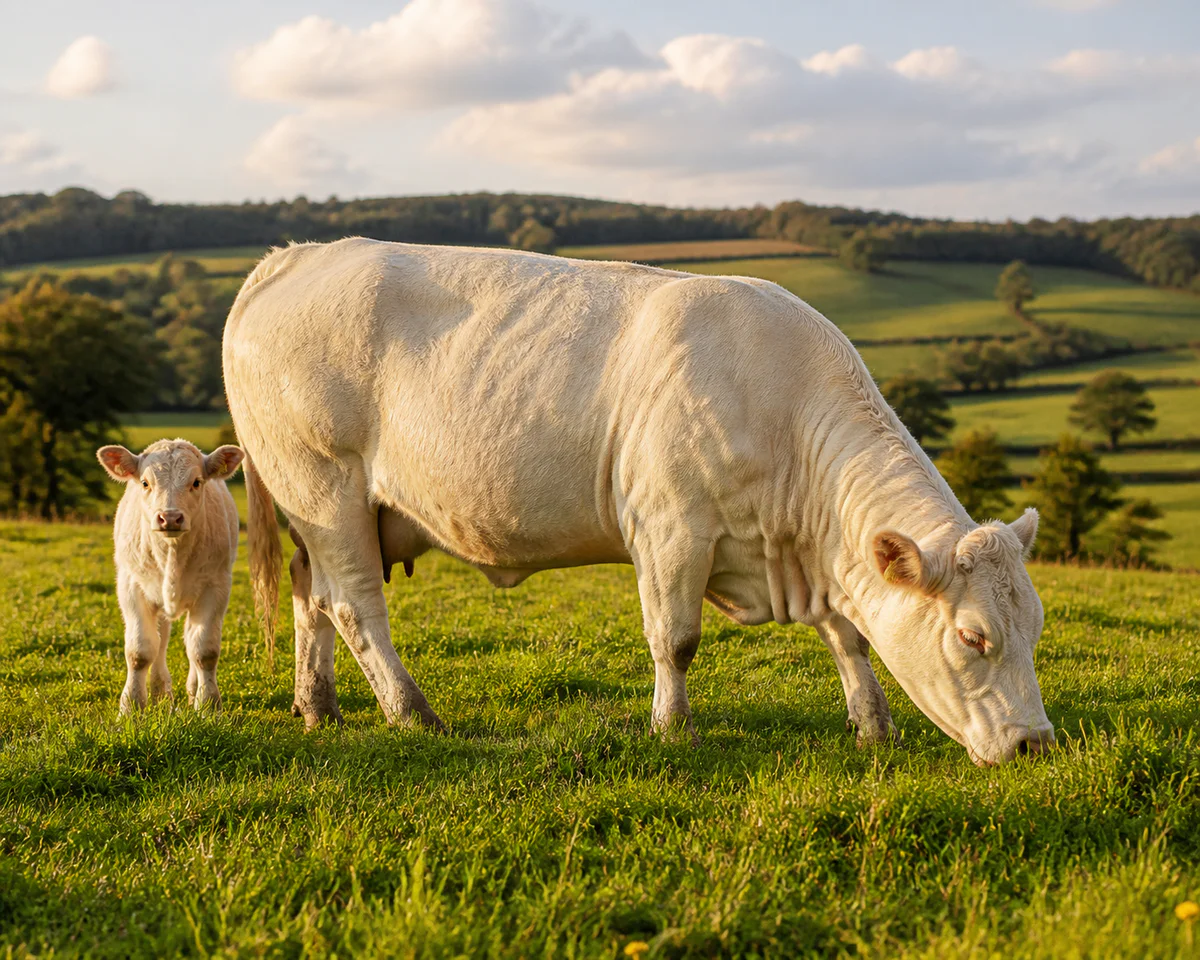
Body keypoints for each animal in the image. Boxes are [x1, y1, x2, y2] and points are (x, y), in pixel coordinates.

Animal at [97, 439, 244, 714]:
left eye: (196, 482)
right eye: (145, 483)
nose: (170, 517)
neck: (172, 554)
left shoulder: (216, 587)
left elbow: (204, 650)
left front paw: (208, 705)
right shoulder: (131, 586)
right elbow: (140, 651)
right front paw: (131, 706)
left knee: (189, 639)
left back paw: (191, 689)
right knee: (161, 639)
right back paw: (159, 691)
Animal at [223, 238, 1054, 766]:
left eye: (1037, 630)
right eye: (975, 637)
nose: (1036, 745)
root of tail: (297, 254)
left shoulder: (815, 553)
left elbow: (849, 637)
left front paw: (873, 726)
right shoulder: (670, 528)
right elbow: (675, 639)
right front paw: (673, 728)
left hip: (313, 512)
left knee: (310, 594)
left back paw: (317, 705)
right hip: (324, 487)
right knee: (355, 605)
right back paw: (412, 712)